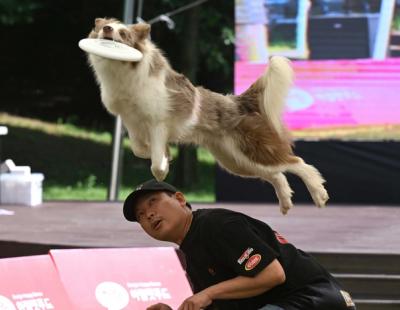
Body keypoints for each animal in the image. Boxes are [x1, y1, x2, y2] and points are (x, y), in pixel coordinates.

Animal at [86, 18, 328, 214]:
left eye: (123, 33)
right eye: (105, 26)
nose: (107, 28)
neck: (123, 70)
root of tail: (238, 101)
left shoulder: (158, 122)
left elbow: (155, 164)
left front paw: (162, 166)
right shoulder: (131, 122)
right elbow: (139, 149)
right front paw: (166, 154)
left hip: (252, 148)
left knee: (297, 162)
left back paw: (318, 194)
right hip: (235, 160)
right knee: (276, 173)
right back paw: (286, 201)